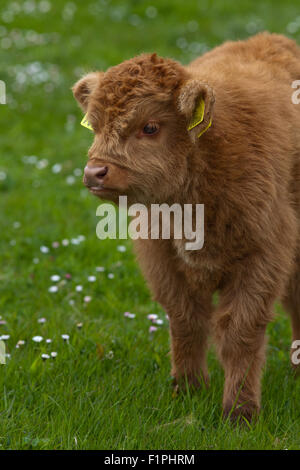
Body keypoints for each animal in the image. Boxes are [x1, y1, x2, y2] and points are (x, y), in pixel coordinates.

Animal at [72, 33, 300, 422]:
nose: (95, 172)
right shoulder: (161, 259)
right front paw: (189, 390)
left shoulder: (264, 257)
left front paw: (240, 412)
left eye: (150, 126)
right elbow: (186, 322)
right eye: (97, 125)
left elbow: (240, 333)